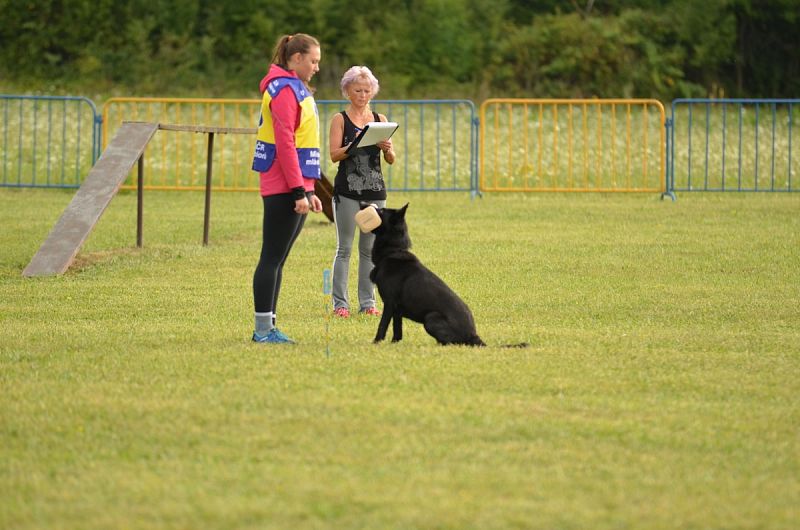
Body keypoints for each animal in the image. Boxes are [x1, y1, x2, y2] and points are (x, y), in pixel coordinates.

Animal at [366, 202, 484, 346]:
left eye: (382, 210)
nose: (363, 204)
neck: (393, 251)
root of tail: (473, 335)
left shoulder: (389, 303)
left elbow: (382, 325)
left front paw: (376, 342)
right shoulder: (397, 310)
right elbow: (397, 329)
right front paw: (394, 344)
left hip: (430, 318)